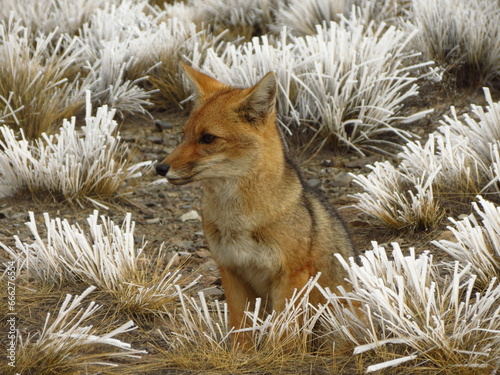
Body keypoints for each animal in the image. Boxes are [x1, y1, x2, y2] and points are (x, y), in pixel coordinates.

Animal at [158, 62, 358, 350]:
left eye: (208, 138)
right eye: (183, 136)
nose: (160, 168)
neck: (238, 220)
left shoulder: (291, 276)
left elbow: (284, 335)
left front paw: (281, 355)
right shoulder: (231, 271)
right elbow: (240, 329)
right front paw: (240, 356)